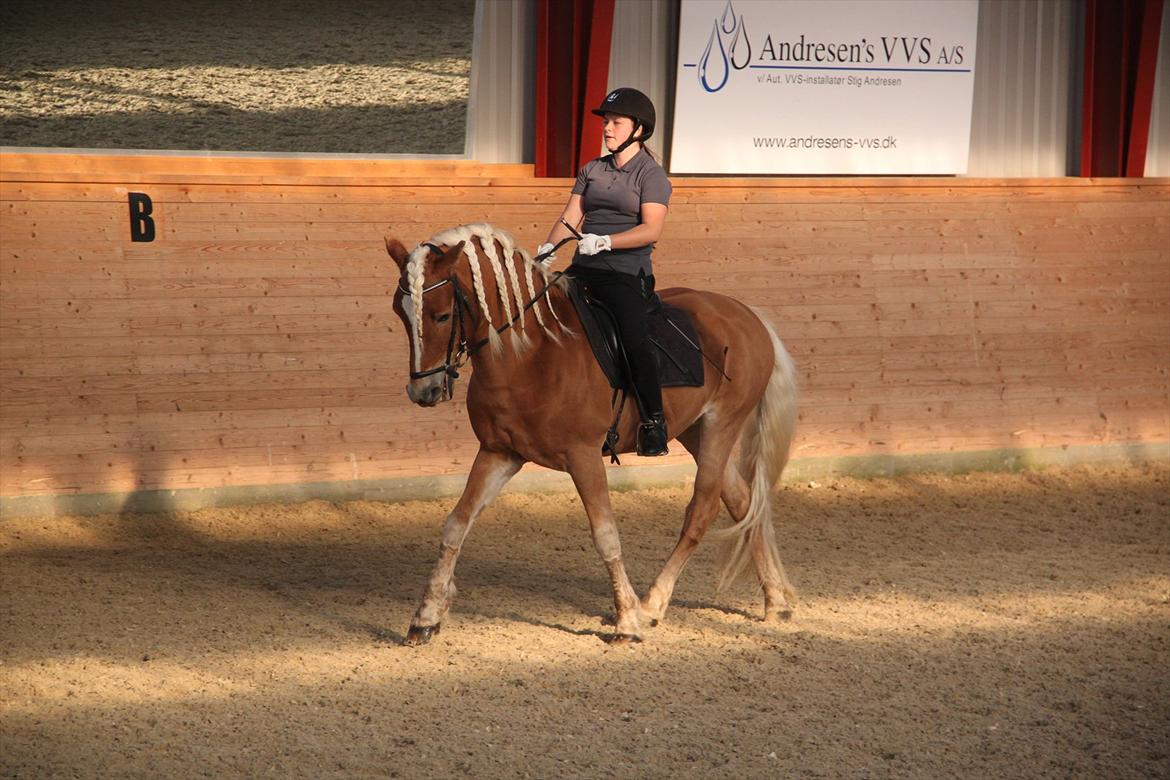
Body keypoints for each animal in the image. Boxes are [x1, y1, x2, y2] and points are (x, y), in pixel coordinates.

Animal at [383, 222, 795, 645]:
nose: (422, 392)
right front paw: (426, 616)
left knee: (703, 510)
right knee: (743, 501)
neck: (530, 355)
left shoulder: (583, 457)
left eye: (442, 315)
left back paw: (652, 605)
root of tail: (746, 315)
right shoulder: (498, 453)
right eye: (401, 313)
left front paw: (626, 621)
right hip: (694, 430)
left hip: (721, 424)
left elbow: (605, 534)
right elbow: (455, 525)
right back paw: (776, 601)